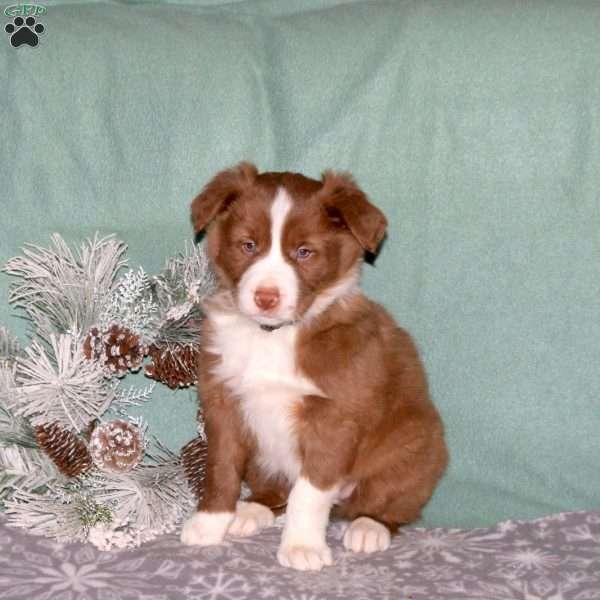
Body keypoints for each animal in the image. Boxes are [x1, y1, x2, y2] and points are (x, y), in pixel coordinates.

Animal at [180, 163, 448, 572]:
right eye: (248, 245)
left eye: (304, 252)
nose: (266, 297)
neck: (272, 337)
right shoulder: (222, 400)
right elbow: (221, 467)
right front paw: (210, 523)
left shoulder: (333, 419)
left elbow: (309, 492)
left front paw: (301, 546)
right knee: (275, 491)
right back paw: (252, 509)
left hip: (414, 448)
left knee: (389, 503)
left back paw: (369, 527)